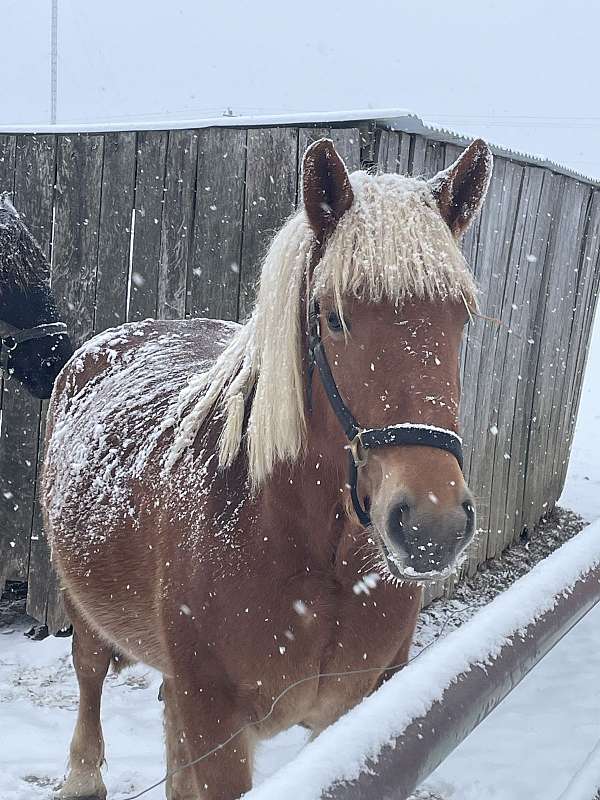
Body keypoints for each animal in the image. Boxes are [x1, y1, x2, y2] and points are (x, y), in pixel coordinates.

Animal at [41, 134, 492, 796]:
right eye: (334, 316)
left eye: (461, 317)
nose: (432, 526)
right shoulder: (216, 725)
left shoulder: (356, 714)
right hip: (83, 608)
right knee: (89, 671)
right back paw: (81, 775)